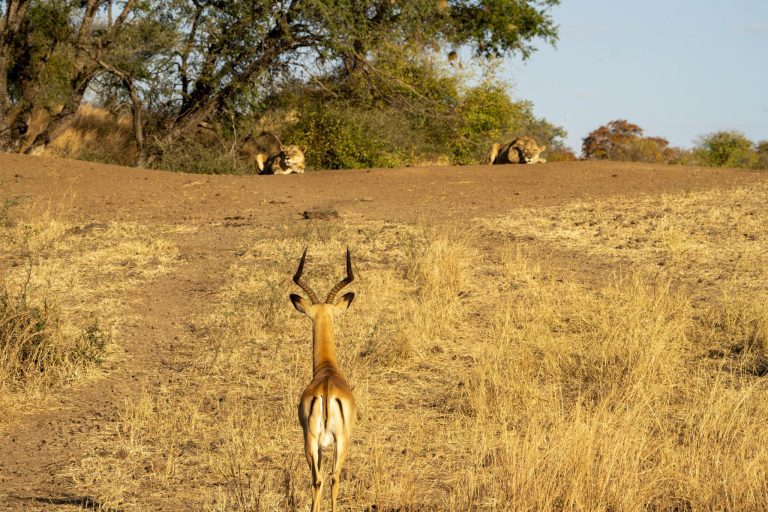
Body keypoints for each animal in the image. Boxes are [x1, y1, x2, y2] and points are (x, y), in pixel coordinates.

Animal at [290, 248, 358, 512]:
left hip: (312, 440)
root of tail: (327, 389)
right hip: (336, 441)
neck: (327, 369)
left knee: (319, 479)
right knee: (331, 477)